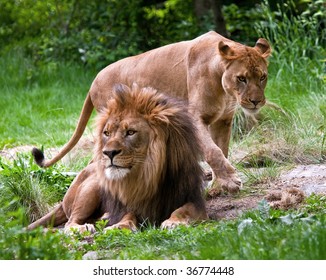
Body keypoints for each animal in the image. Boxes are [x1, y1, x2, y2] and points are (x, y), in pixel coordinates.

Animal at [28, 83, 206, 232]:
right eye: (107, 133)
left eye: (130, 132)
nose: (108, 153)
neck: (149, 174)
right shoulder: (129, 203)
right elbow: (128, 215)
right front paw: (120, 226)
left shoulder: (195, 200)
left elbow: (182, 210)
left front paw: (173, 222)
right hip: (92, 185)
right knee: (70, 222)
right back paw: (83, 227)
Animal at [33, 31, 272, 195]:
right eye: (241, 78)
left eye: (262, 77)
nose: (256, 101)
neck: (223, 85)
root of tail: (93, 82)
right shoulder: (196, 117)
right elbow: (212, 151)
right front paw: (230, 181)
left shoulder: (223, 121)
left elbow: (222, 150)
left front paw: (217, 185)